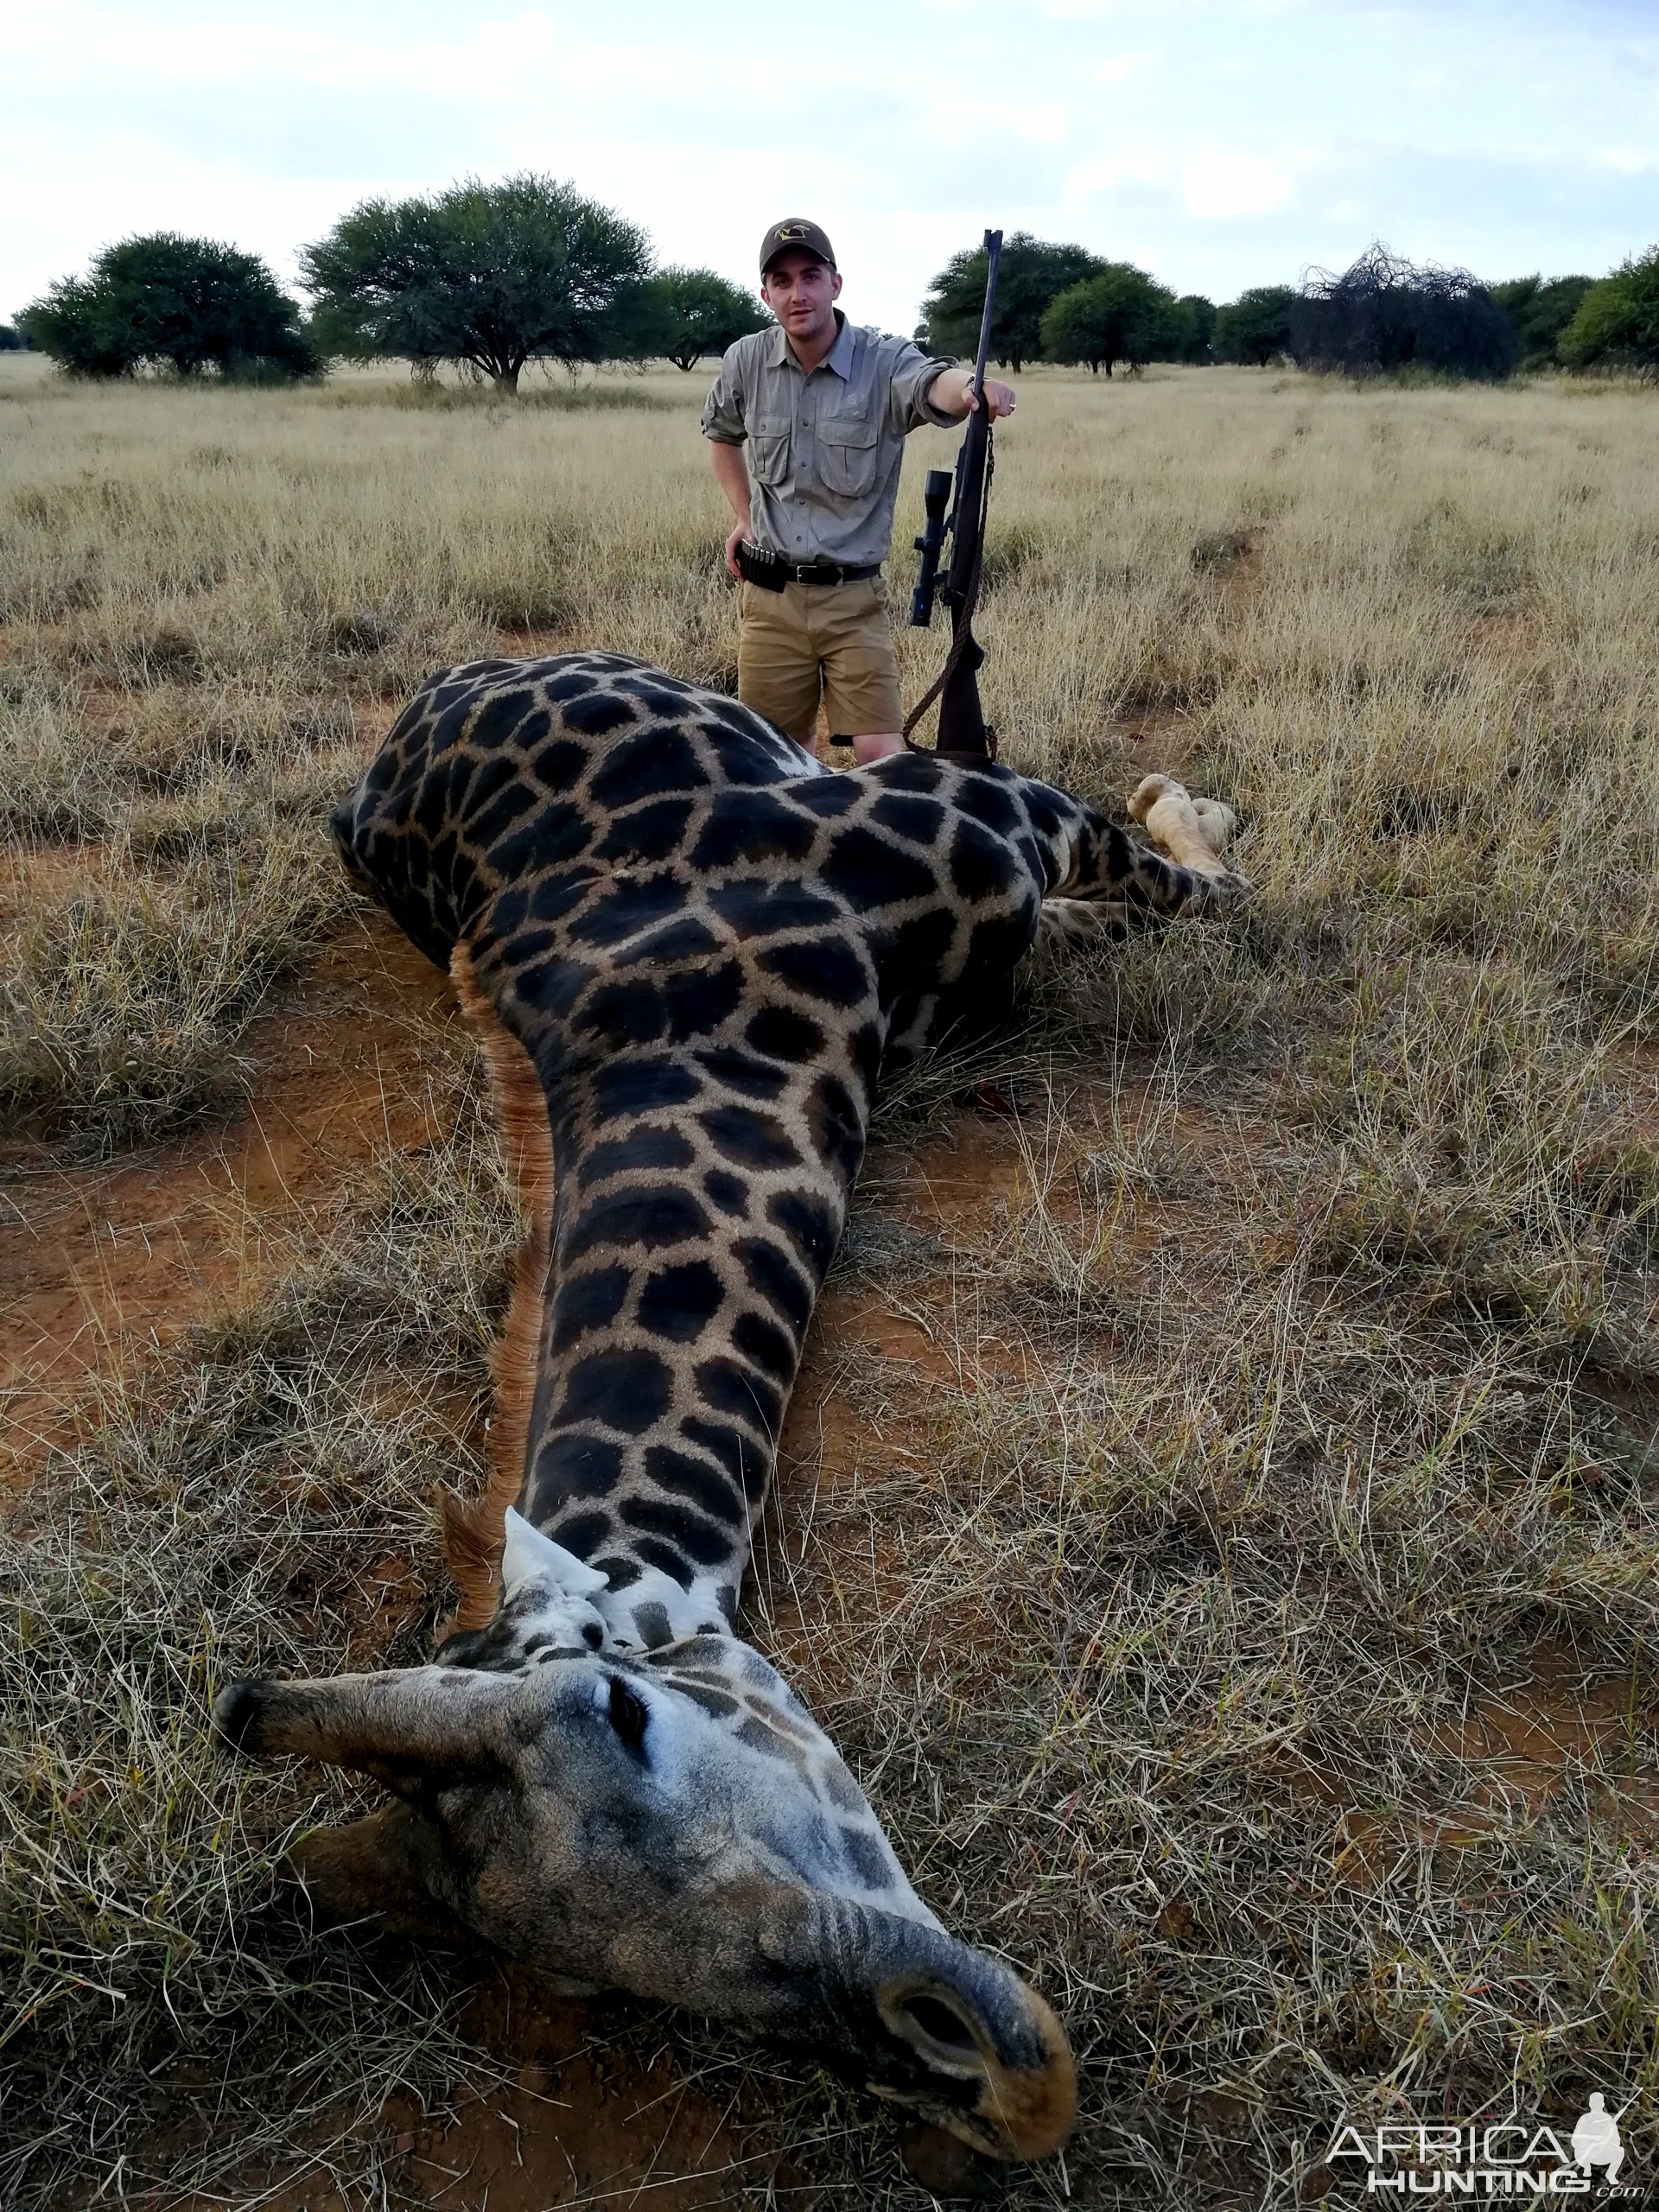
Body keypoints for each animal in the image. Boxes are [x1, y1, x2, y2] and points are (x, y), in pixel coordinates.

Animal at [214, 650, 1238, 2158]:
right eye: (592, 1983)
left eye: (624, 1714)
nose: (996, 2083)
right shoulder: (1006, 860)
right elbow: (1158, 901)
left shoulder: (1002, 815)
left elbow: (1196, 884)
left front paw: (1189, 799)